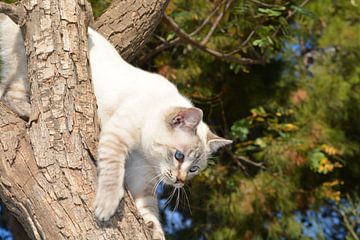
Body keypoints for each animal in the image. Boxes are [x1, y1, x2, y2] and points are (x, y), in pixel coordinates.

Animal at [0, 14, 232, 239]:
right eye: (179, 156)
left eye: (193, 169)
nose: (180, 182)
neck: (145, 155)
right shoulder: (116, 137)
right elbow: (113, 174)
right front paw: (106, 208)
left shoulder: (142, 181)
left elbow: (150, 209)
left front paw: (154, 230)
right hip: (25, 72)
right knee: (9, 95)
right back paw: (30, 112)